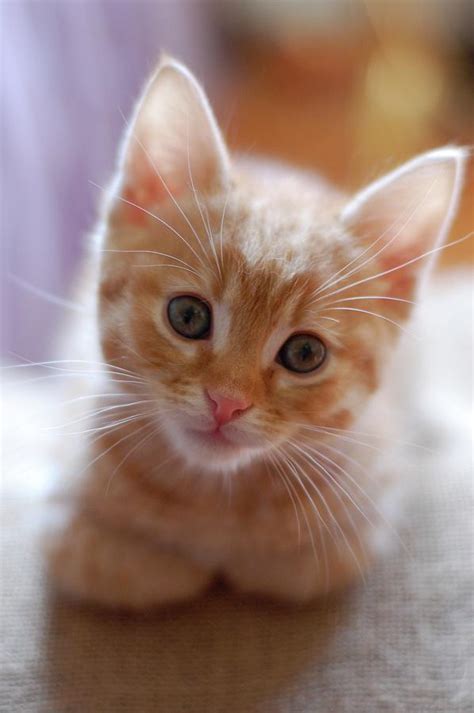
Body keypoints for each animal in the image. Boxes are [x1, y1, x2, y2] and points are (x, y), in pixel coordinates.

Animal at [46, 58, 468, 608]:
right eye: (188, 316)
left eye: (305, 353)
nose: (225, 403)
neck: (215, 495)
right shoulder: (63, 521)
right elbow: (142, 570)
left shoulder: (354, 530)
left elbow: (282, 570)